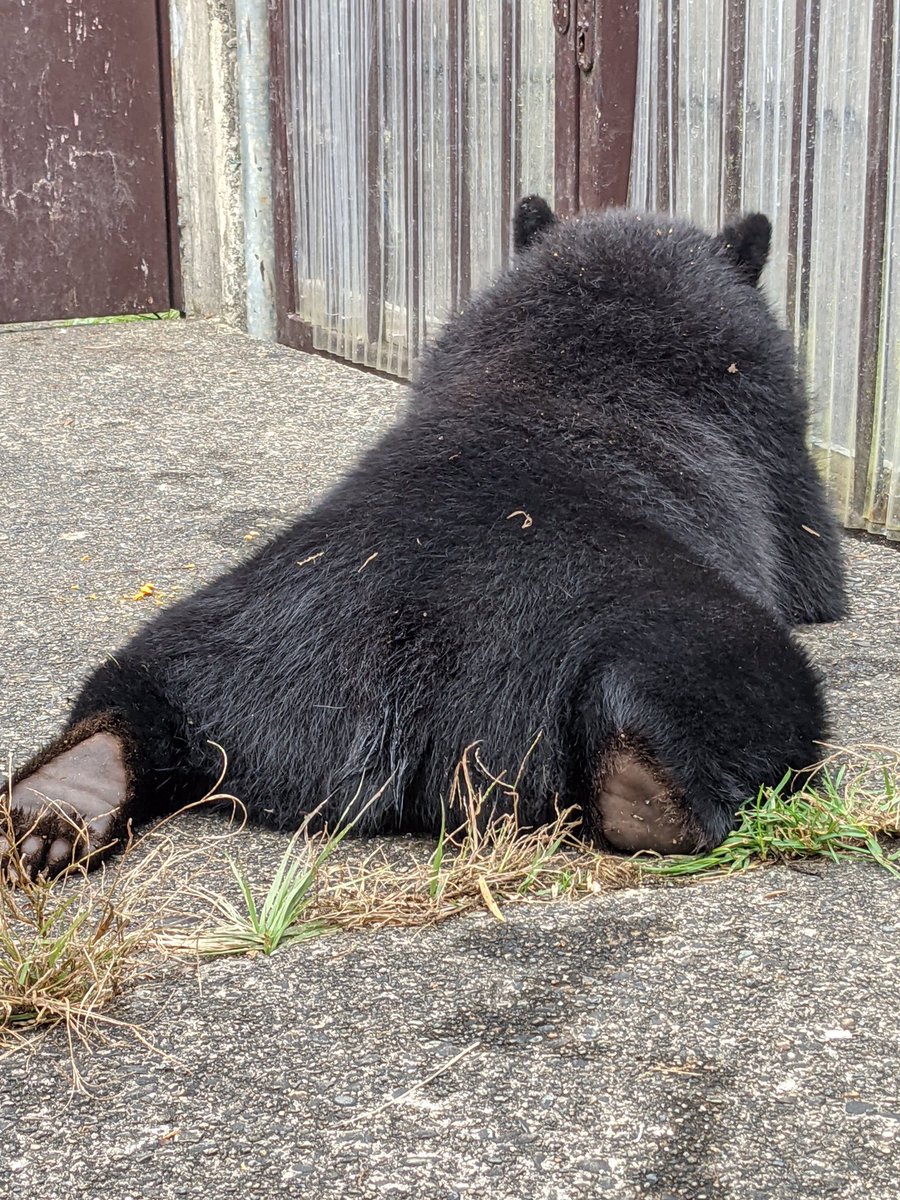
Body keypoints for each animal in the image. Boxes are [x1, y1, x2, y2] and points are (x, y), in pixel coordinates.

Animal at [1, 199, 844, 883]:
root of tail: (405, 688)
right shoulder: (773, 430)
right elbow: (813, 566)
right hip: (659, 625)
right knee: (741, 682)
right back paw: (652, 783)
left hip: (240, 632)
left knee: (142, 680)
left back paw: (59, 801)